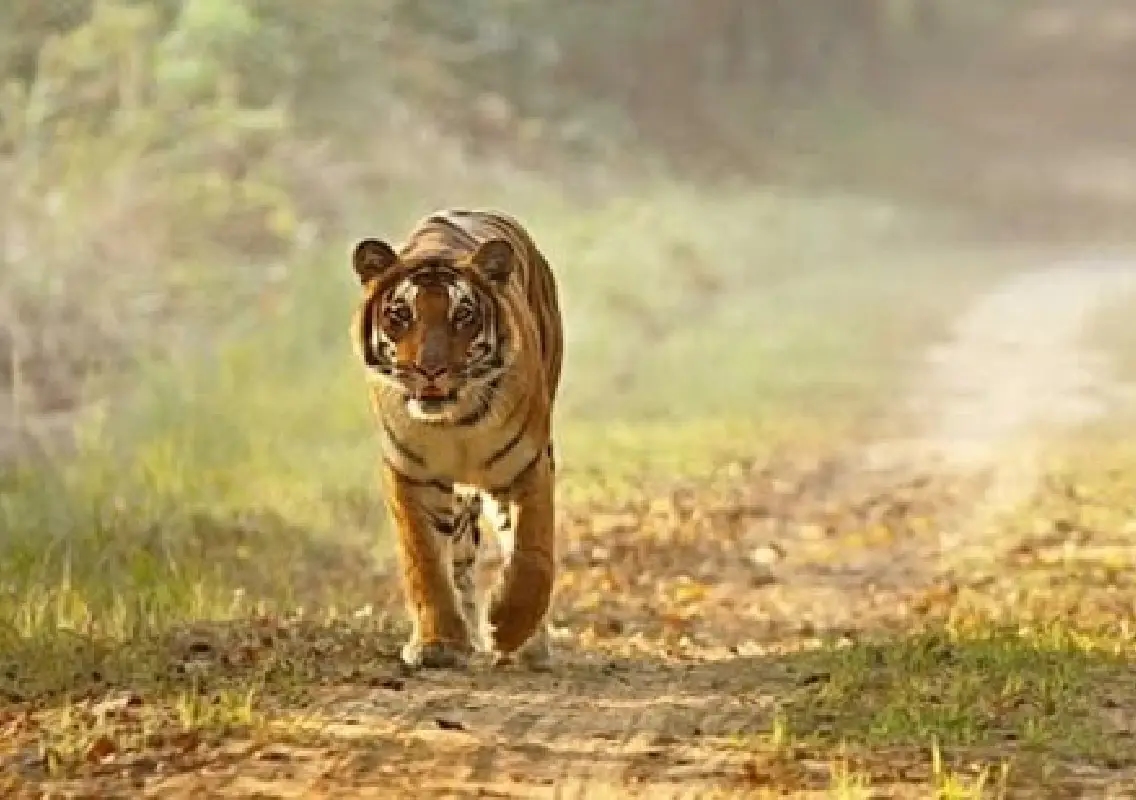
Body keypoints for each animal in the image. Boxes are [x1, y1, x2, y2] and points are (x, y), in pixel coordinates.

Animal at [349, 209, 563, 671]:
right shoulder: (411, 474)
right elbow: (425, 562)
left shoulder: (528, 465)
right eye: (401, 314)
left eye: (463, 315)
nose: (430, 370)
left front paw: (507, 627)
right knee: (461, 557)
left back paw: (527, 644)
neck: (456, 421)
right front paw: (439, 644)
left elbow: (533, 555)